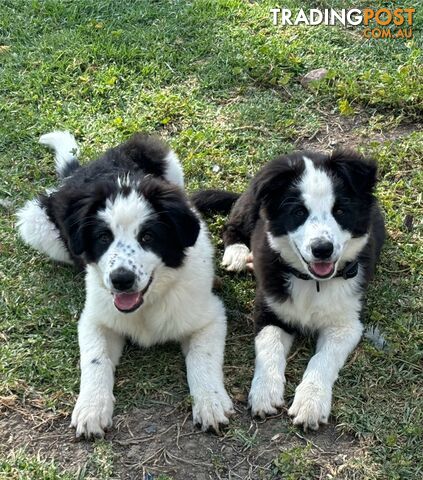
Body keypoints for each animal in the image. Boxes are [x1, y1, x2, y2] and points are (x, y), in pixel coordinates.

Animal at [17, 131, 235, 438]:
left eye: (148, 237)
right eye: (103, 238)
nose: (121, 280)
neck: (150, 303)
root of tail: (81, 170)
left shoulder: (210, 316)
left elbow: (202, 356)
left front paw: (211, 401)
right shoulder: (95, 319)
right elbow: (95, 359)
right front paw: (92, 408)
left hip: (163, 158)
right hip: (37, 226)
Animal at [194, 151, 386, 432]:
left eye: (340, 211)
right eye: (298, 212)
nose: (322, 249)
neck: (312, 282)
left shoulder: (346, 324)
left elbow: (322, 360)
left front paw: (310, 403)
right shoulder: (268, 309)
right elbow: (269, 347)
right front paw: (265, 392)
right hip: (252, 203)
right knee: (232, 224)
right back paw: (238, 254)